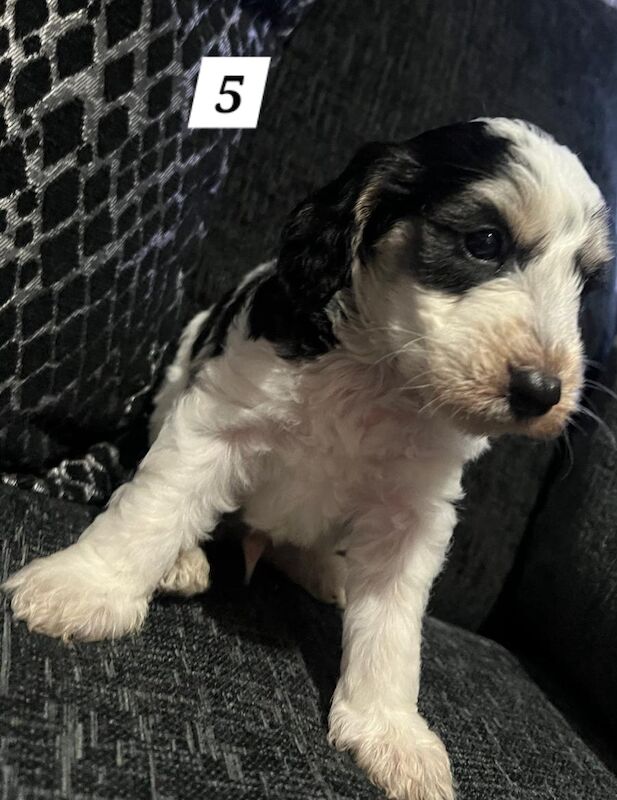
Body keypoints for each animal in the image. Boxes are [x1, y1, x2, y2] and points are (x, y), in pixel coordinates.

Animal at [3, 119, 612, 800]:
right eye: (484, 241)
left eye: (585, 283)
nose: (543, 393)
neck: (378, 375)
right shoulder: (217, 422)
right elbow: (154, 506)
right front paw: (86, 587)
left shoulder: (413, 515)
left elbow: (394, 631)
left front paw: (389, 732)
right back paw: (183, 561)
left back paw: (324, 569)